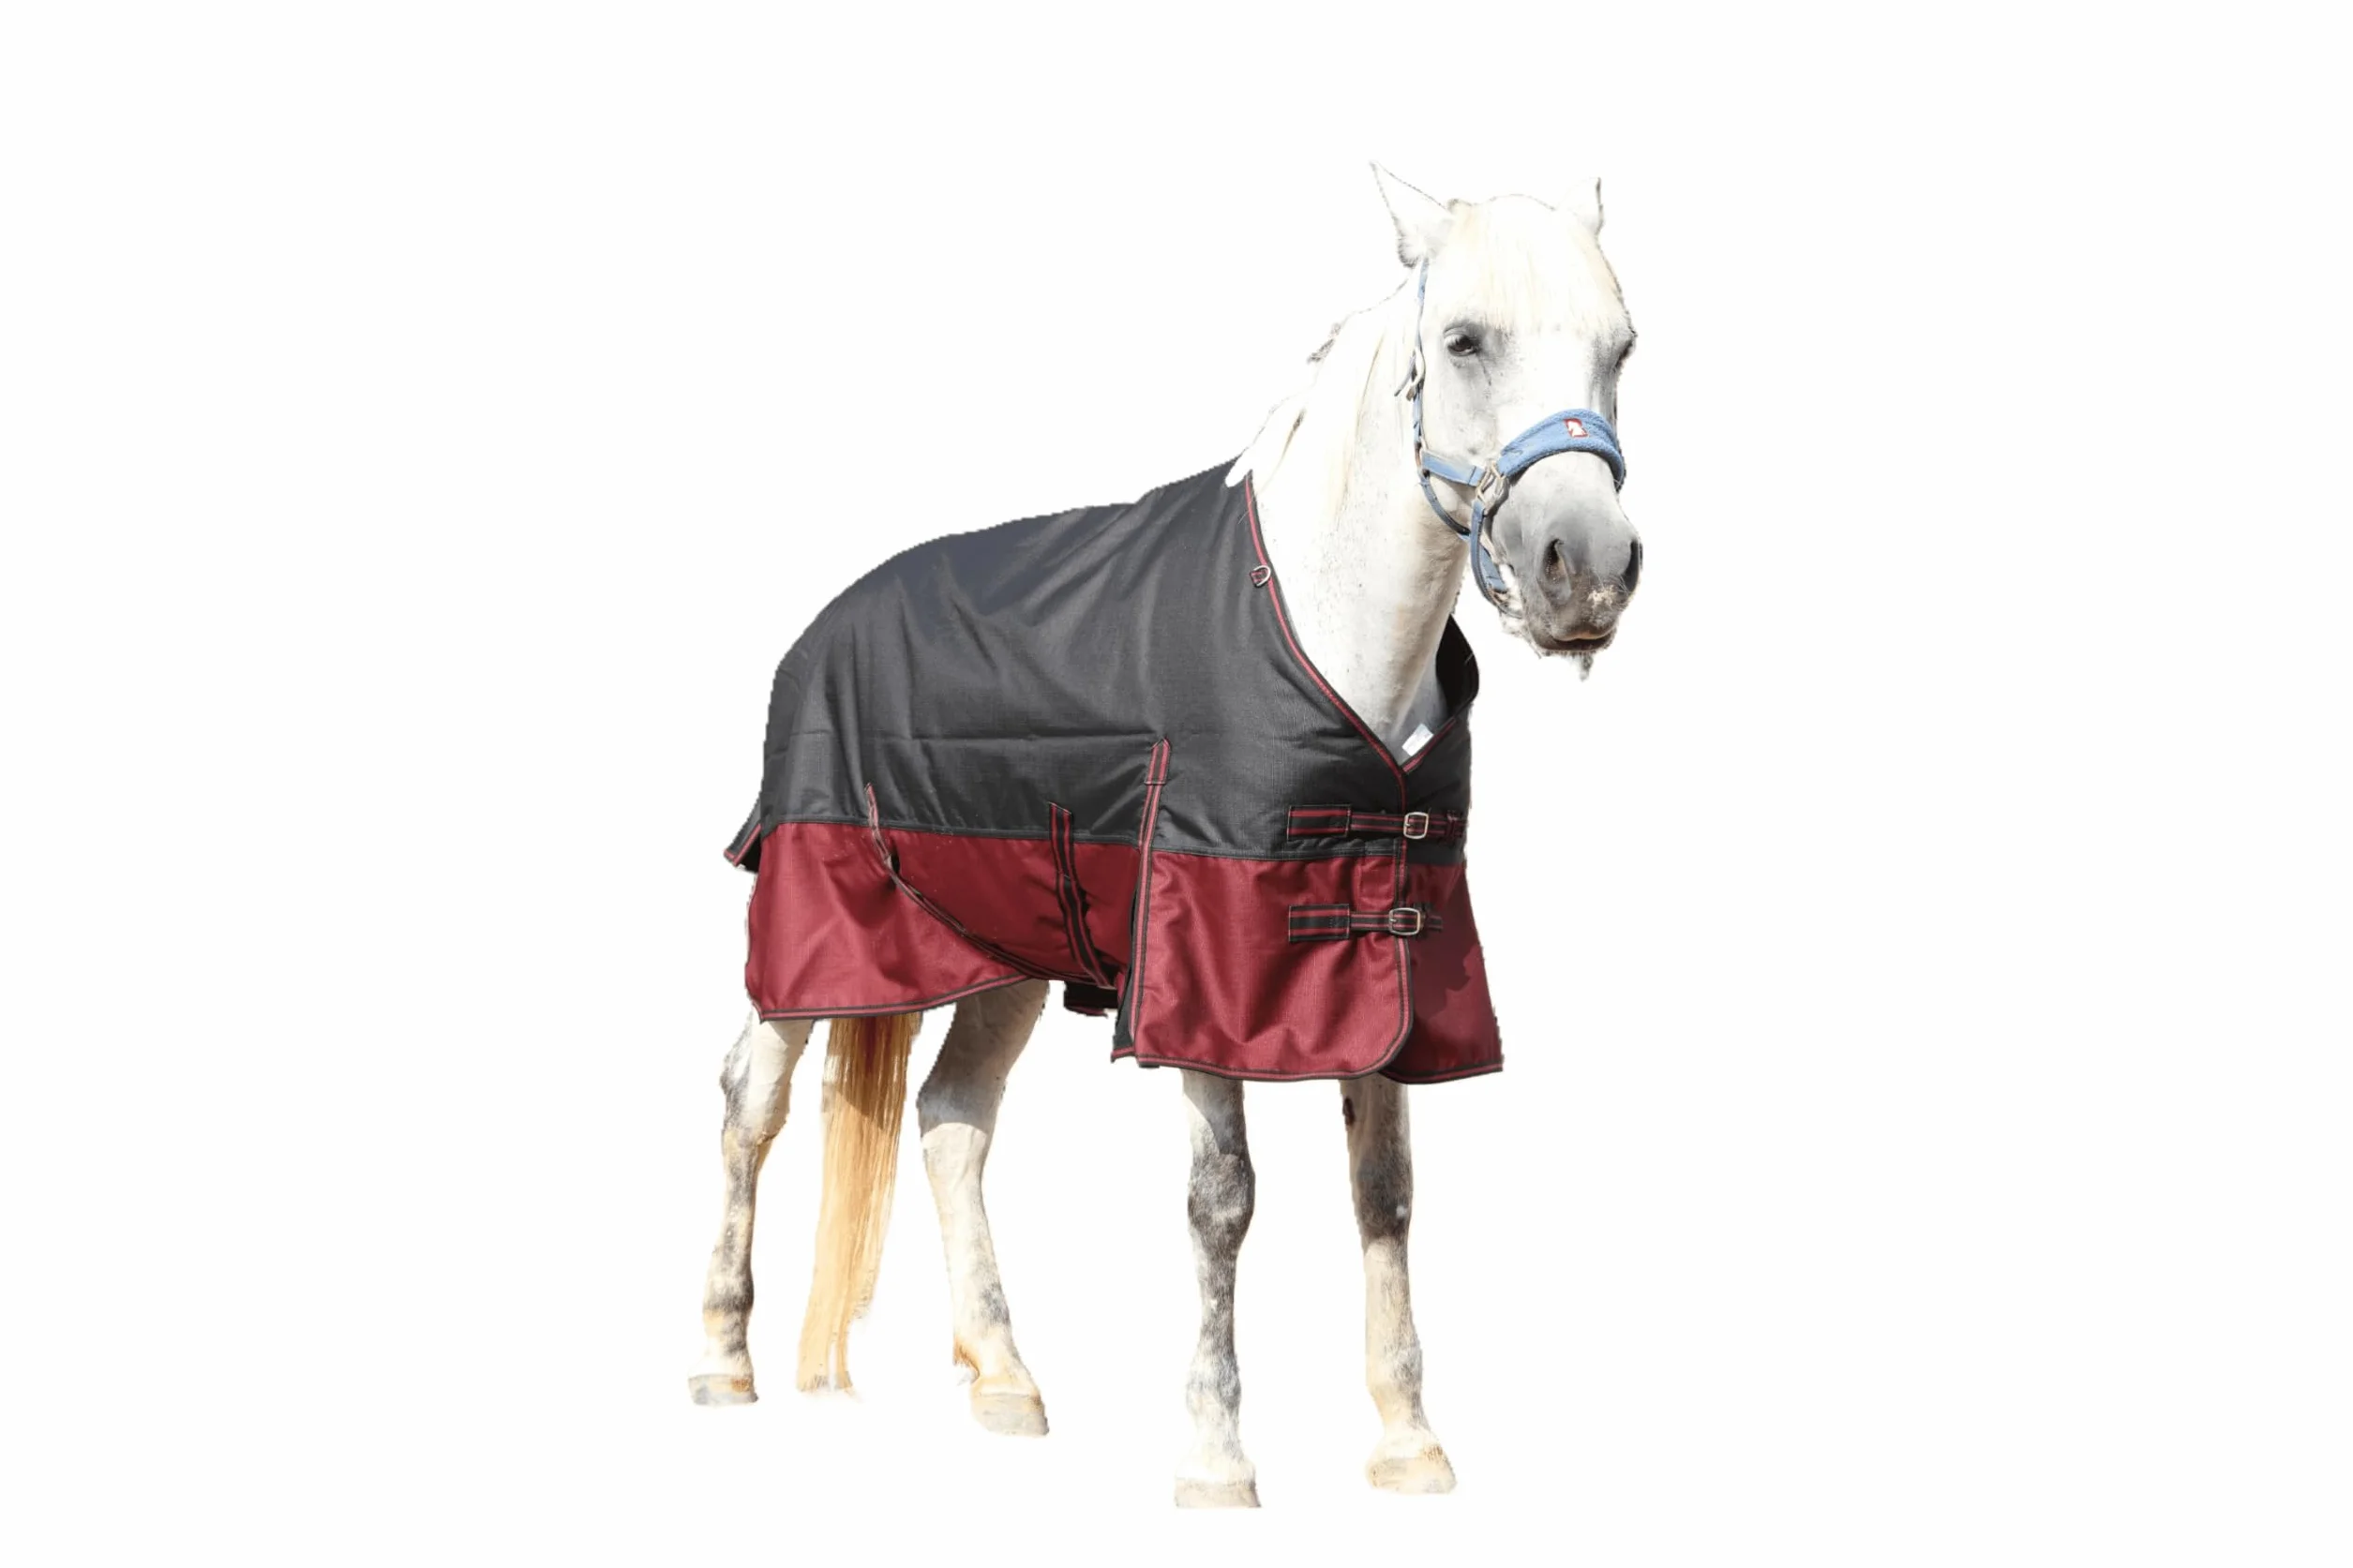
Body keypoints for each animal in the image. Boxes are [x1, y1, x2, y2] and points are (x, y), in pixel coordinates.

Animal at [688, 166, 1642, 1508]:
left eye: (1620, 348)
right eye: (1464, 340)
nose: (1585, 571)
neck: (1321, 620)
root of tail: (824, 624)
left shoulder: (1386, 961)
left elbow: (1384, 1193)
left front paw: (1407, 1442)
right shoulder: (1202, 970)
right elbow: (1221, 1200)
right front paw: (1215, 1456)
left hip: (1005, 949)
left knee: (950, 1118)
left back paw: (1004, 1376)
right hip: (814, 923)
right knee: (750, 1098)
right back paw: (723, 1357)